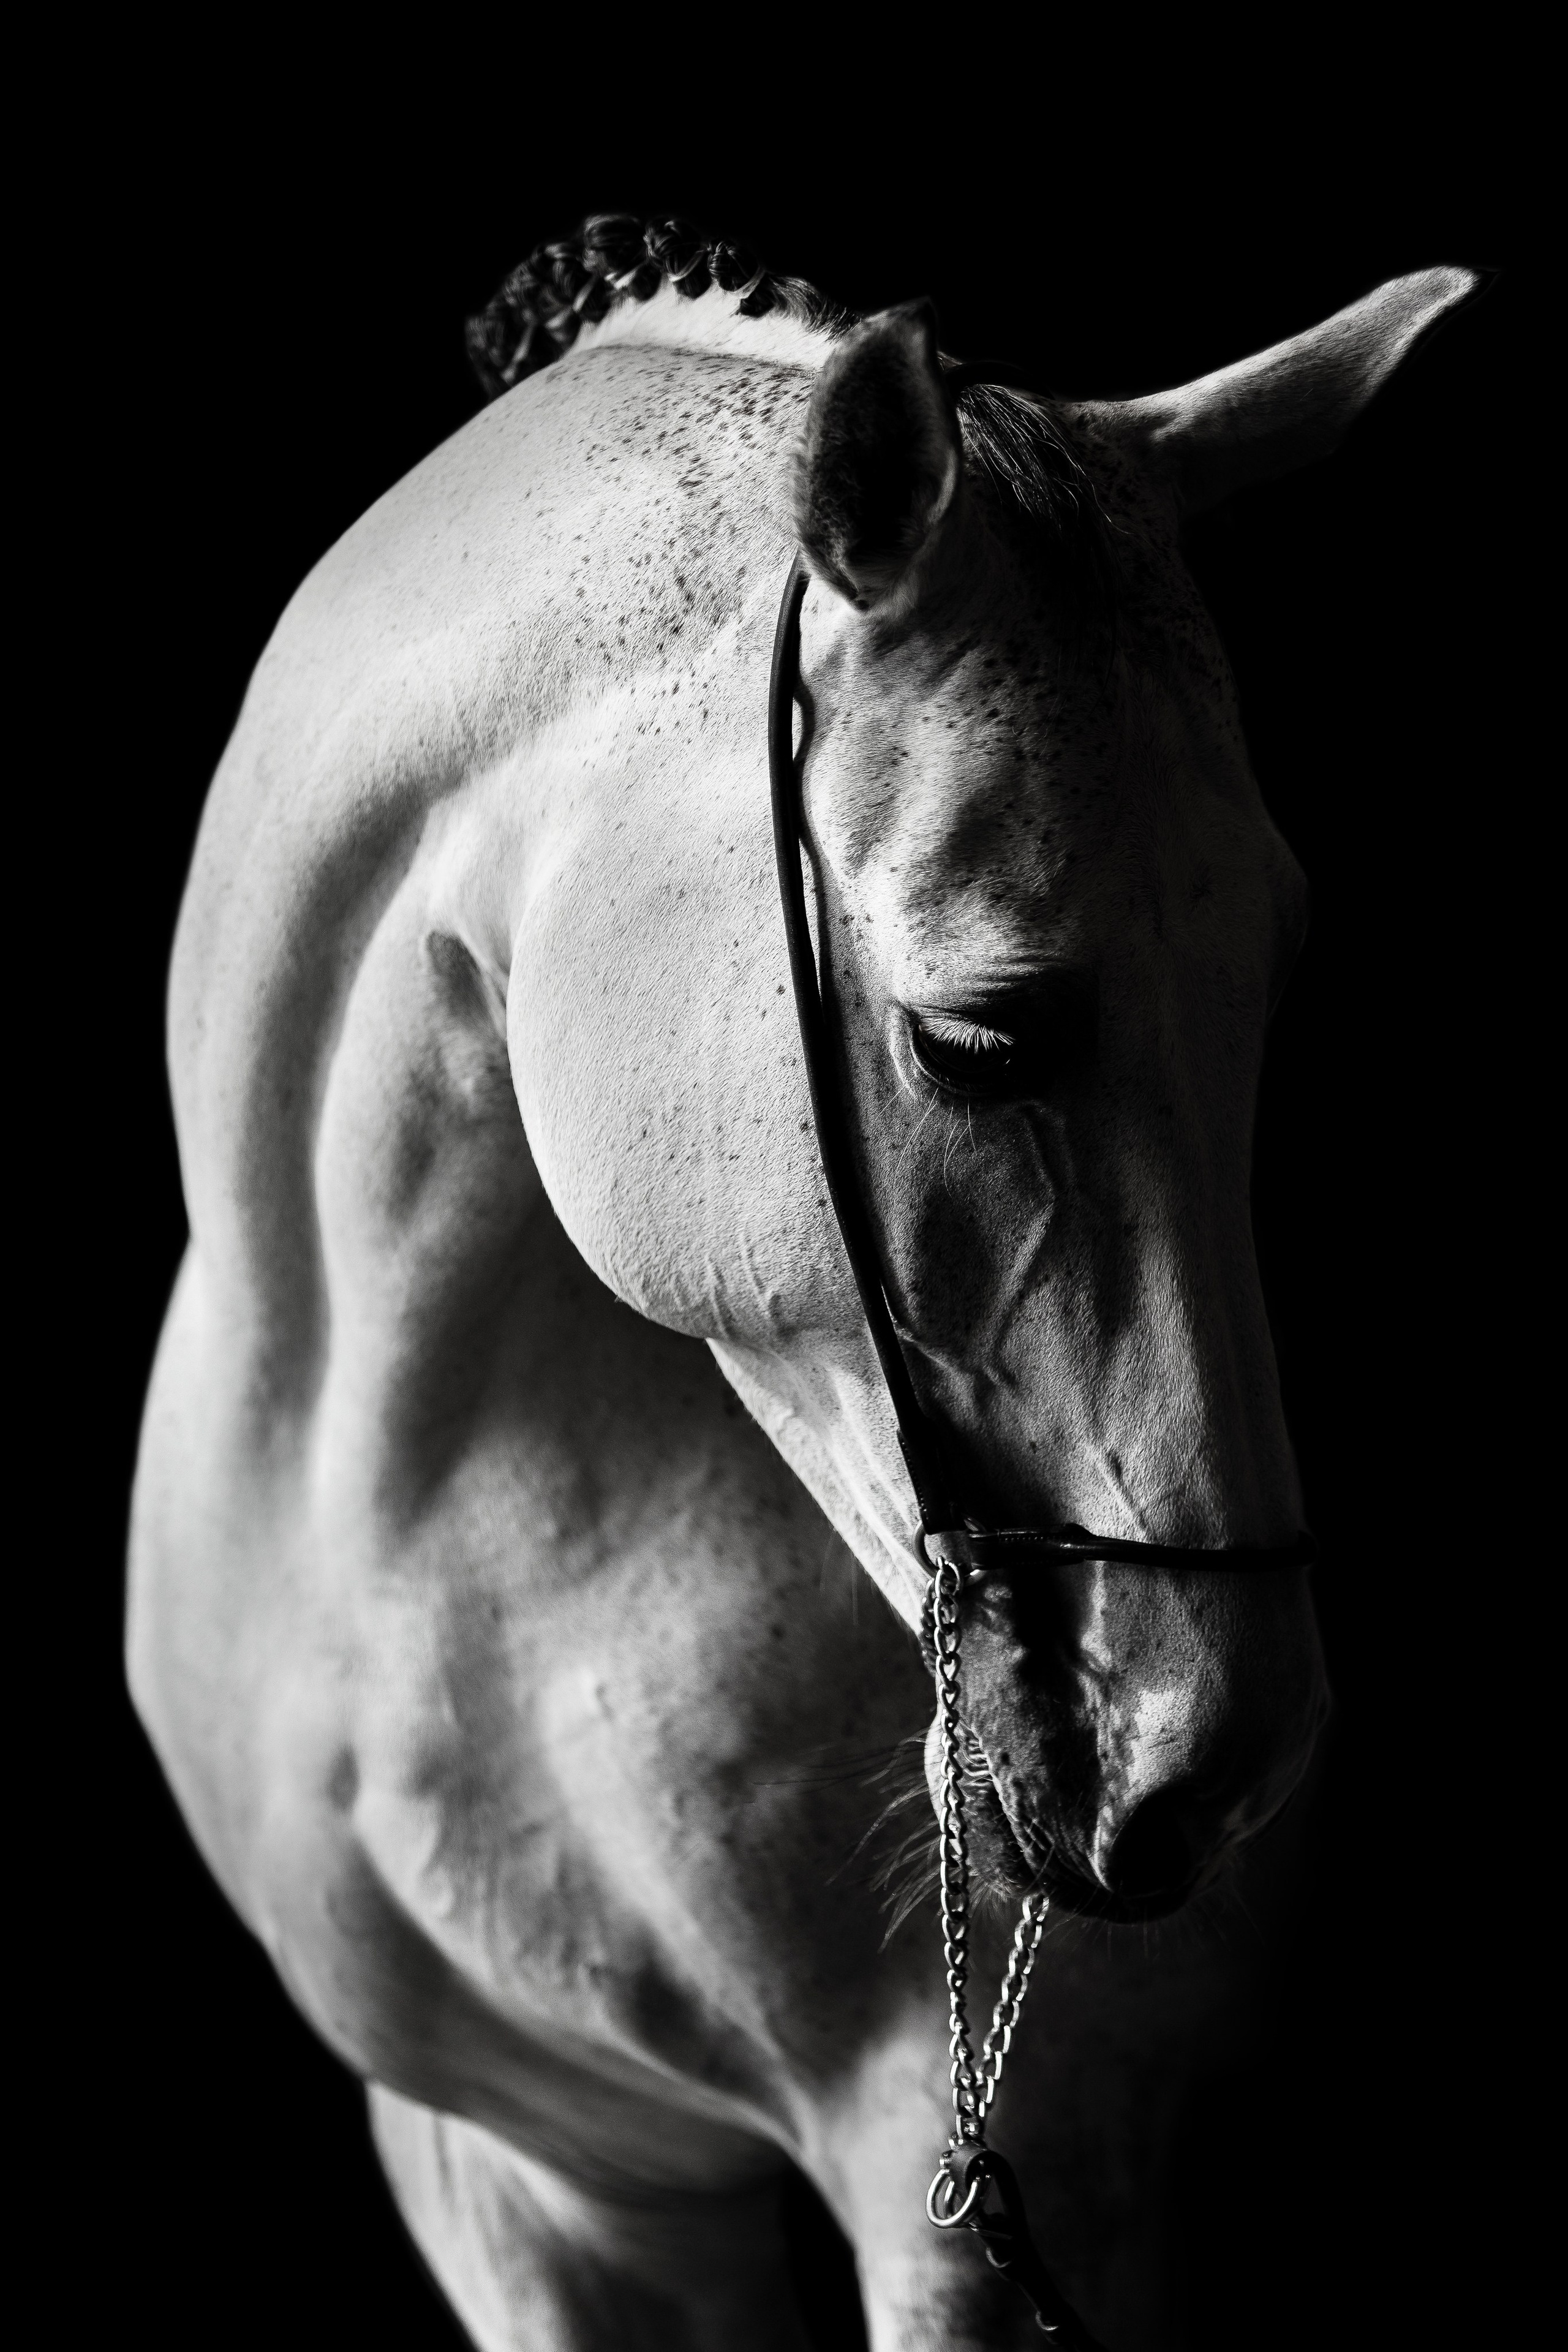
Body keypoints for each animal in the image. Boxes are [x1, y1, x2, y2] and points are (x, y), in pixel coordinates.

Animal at [127, 215, 1478, 2349]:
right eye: (977, 1038)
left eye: (1272, 978)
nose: (1219, 1750)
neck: (434, 1476)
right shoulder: (536, 2186)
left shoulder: (1002, 2184)